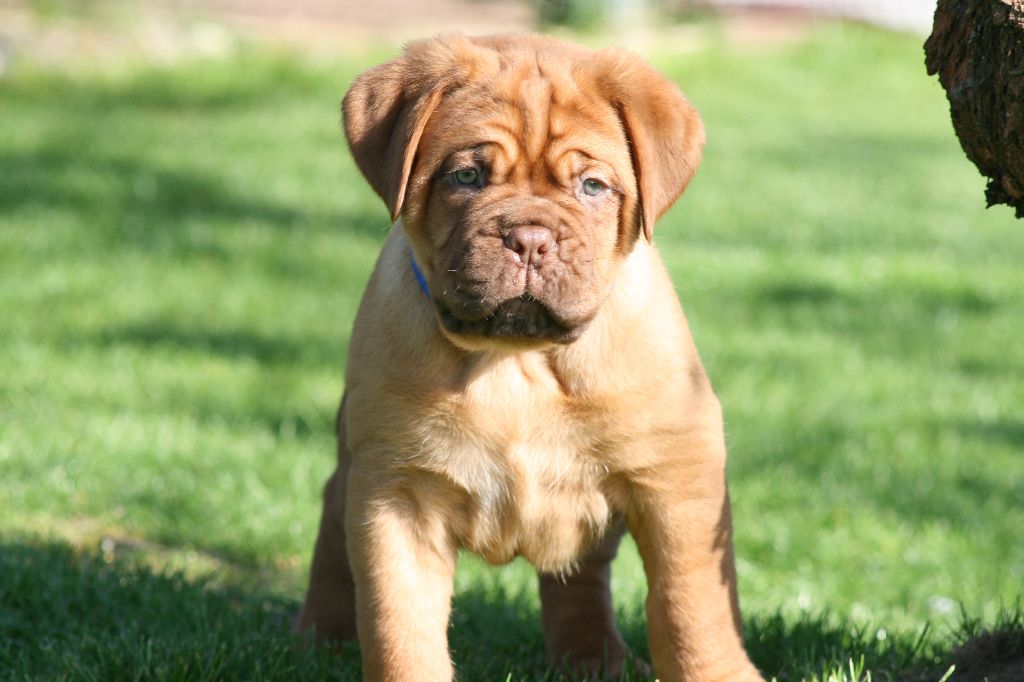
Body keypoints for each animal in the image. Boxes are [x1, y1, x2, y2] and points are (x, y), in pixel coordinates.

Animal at [295, 33, 763, 682]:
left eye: (592, 187)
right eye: (467, 176)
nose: (530, 239)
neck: (519, 361)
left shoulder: (676, 475)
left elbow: (691, 605)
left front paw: (714, 670)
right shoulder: (397, 495)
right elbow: (398, 626)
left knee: (581, 584)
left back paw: (591, 660)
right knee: (332, 539)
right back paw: (318, 638)